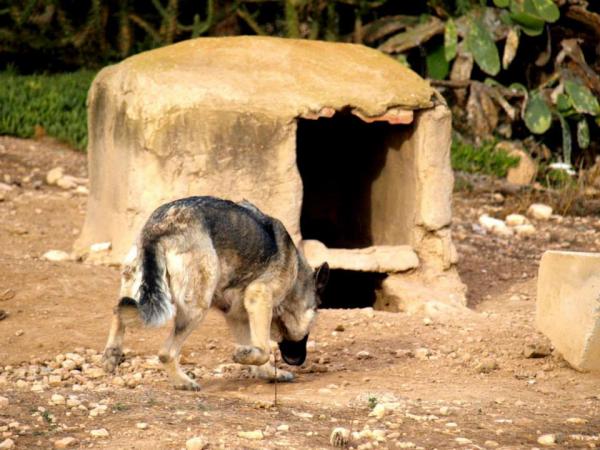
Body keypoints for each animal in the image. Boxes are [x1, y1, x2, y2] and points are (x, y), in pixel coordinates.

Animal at [101, 197, 330, 390]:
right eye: (311, 327)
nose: (299, 361)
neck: (296, 278)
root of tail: (159, 228)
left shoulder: (238, 315)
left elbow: (256, 347)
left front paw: (265, 370)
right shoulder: (259, 296)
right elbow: (264, 349)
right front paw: (245, 357)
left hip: (134, 287)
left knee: (119, 312)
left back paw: (111, 355)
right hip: (196, 307)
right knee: (166, 352)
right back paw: (183, 382)